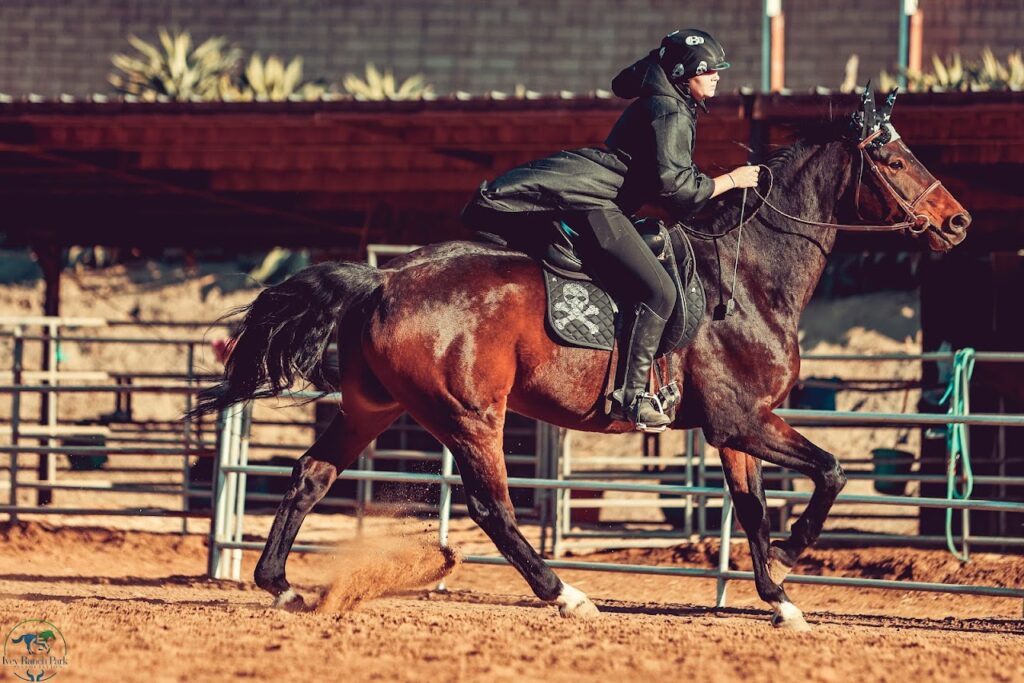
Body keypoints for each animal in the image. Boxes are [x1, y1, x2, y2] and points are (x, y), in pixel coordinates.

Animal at [190, 90, 966, 630]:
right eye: (894, 160)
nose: (957, 221)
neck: (749, 279)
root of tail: (382, 279)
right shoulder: (742, 420)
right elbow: (829, 473)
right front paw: (795, 554)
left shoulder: (736, 430)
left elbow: (752, 512)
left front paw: (780, 597)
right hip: (471, 416)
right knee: (492, 508)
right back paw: (566, 594)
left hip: (371, 409)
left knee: (311, 475)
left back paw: (281, 585)